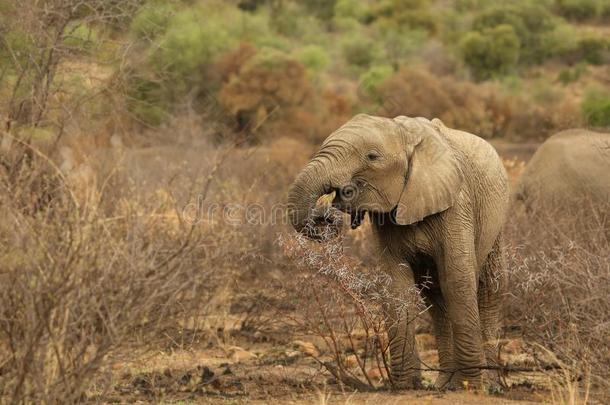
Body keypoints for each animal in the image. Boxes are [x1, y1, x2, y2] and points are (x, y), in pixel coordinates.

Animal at [288, 113, 506, 388]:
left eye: (372, 156)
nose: (326, 215)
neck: (405, 133)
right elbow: (396, 286)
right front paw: (406, 386)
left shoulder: (457, 206)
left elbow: (457, 280)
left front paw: (470, 386)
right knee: (436, 298)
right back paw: (444, 384)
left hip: (496, 225)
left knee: (489, 289)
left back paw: (489, 385)